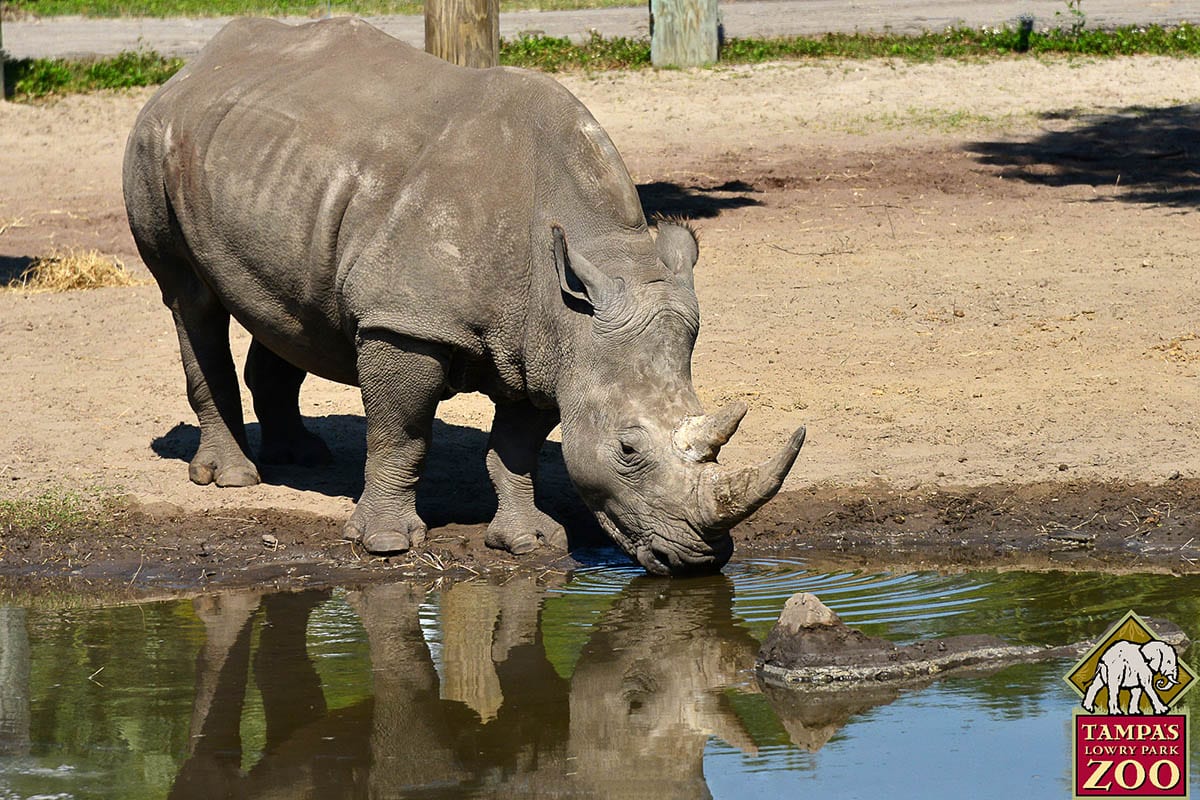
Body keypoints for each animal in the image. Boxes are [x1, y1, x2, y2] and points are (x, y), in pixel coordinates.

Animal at [123, 17, 805, 575]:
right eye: (627, 449)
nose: (701, 558)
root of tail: (194, 67)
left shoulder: (546, 347)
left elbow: (516, 446)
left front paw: (528, 542)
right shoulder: (406, 322)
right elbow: (401, 433)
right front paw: (387, 545)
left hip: (273, 170)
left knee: (289, 307)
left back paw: (304, 457)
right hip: (154, 142)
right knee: (191, 302)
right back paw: (234, 481)